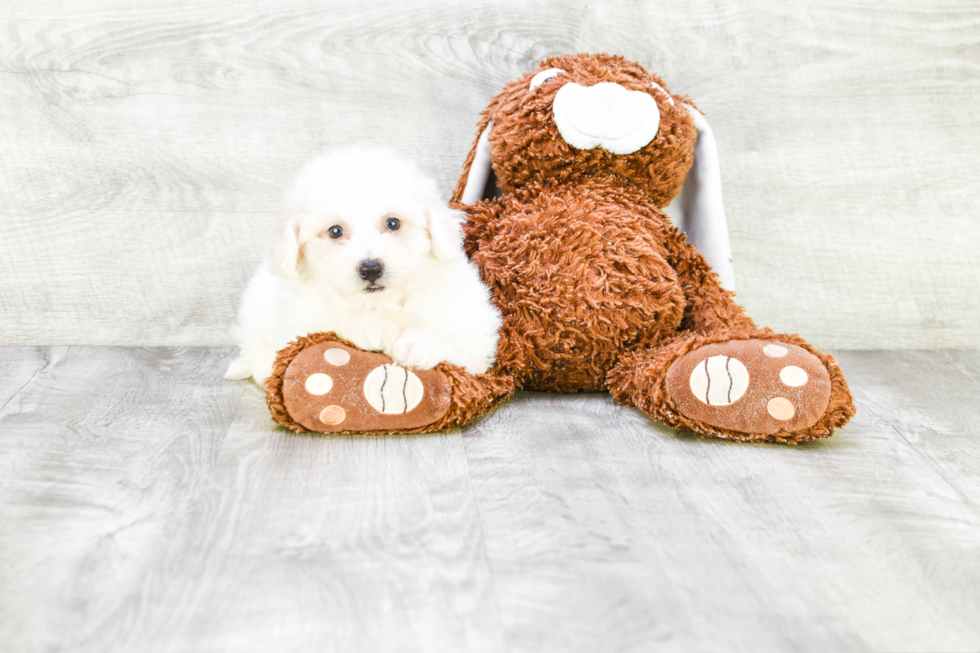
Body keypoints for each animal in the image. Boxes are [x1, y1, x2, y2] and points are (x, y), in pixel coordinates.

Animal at [227, 145, 502, 384]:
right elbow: (328, 323)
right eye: (335, 231)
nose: (370, 269)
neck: (383, 303)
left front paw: (417, 345)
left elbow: (460, 340)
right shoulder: (298, 321)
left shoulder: (476, 328)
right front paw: (372, 327)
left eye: (393, 223)